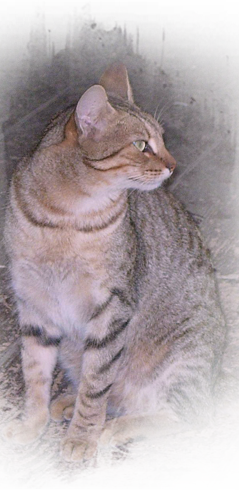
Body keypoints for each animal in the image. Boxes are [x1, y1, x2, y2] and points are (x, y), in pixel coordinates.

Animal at [0, 62, 234, 464]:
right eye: (142, 145)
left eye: (163, 140)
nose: (173, 165)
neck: (65, 217)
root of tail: (215, 378)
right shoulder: (33, 303)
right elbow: (35, 374)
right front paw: (33, 421)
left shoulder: (112, 307)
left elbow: (96, 386)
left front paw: (82, 436)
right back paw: (69, 402)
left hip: (184, 356)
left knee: (192, 413)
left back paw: (119, 427)